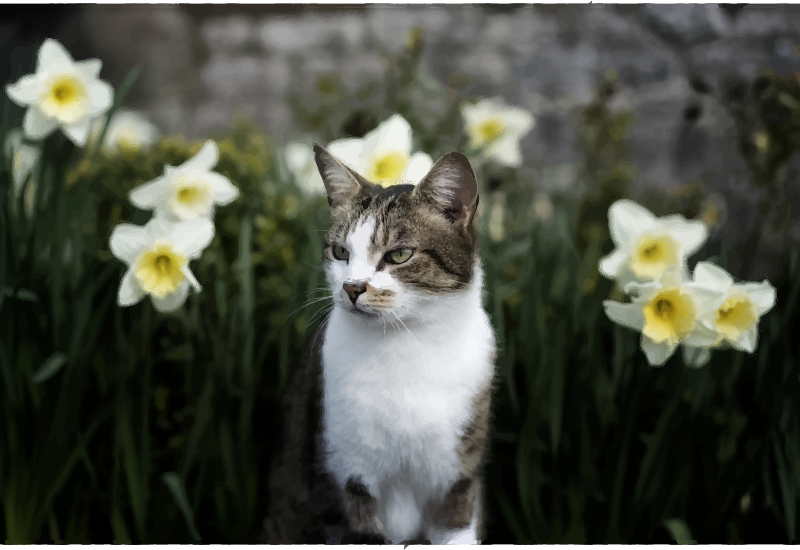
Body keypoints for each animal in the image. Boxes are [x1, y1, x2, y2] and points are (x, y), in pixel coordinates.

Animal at [260, 144, 496, 544]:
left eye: (399, 255)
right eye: (341, 252)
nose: (352, 287)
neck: (404, 342)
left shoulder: (459, 479)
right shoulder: (342, 474)